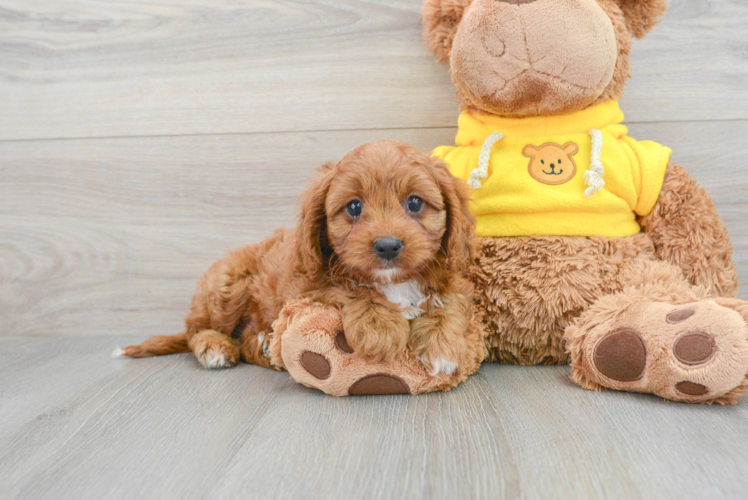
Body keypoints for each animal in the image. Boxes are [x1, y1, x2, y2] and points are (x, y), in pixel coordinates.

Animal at [117, 141, 480, 376]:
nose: (388, 246)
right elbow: (351, 288)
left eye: (415, 203)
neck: (393, 281)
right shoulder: (310, 284)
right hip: (226, 285)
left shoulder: (450, 273)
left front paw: (441, 346)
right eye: (354, 207)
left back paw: (263, 343)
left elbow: (448, 298)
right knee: (197, 329)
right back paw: (216, 347)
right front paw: (380, 325)